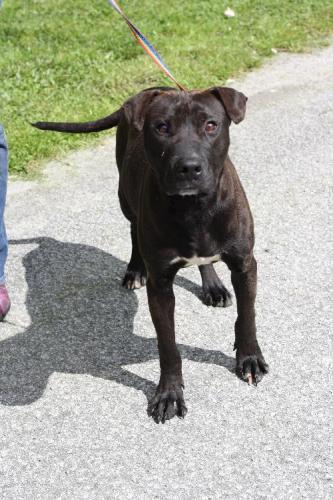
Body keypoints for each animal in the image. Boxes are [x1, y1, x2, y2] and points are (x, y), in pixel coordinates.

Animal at [32, 86, 268, 422]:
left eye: (211, 125)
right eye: (162, 127)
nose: (189, 167)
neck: (193, 208)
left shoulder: (245, 265)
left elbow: (247, 316)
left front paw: (248, 358)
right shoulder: (160, 286)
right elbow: (168, 347)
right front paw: (169, 393)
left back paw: (212, 285)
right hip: (125, 195)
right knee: (133, 229)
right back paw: (134, 270)